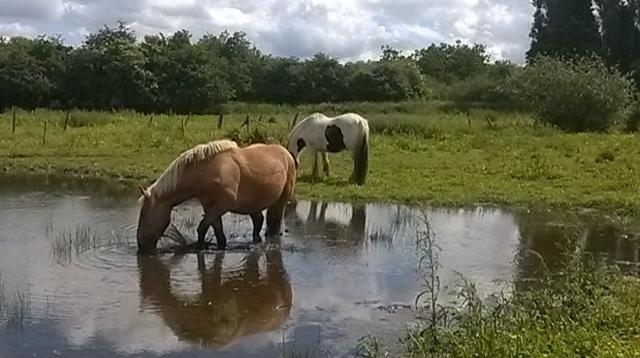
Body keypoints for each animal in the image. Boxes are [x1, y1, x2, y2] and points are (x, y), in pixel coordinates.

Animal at [136, 139, 296, 255]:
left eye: (143, 214)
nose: (140, 244)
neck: (208, 171)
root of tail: (286, 153)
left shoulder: (223, 205)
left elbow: (202, 228)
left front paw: (200, 247)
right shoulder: (210, 207)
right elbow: (217, 231)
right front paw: (219, 247)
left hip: (281, 201)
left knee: (273, 223)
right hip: (252, 205)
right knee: (258, 222)